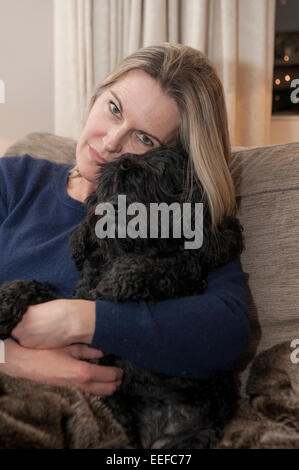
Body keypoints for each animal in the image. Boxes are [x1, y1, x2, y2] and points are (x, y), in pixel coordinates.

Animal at [0, 145, 244, 450]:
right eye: (112, 183)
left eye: (145, 184)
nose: (111, 207)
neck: (123, 250)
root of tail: (155, 436)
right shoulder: (71, 296)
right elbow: (39, 288)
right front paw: (6, 301)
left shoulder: (186, 277)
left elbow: (159, 267)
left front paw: (113, 284)